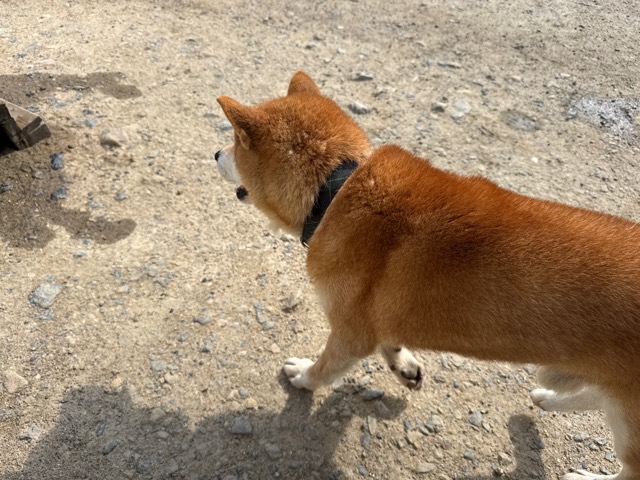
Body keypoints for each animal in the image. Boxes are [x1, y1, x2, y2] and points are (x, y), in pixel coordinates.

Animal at [215, 71, 640, 480]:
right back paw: (550, 399)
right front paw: (403, 366)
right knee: (596, 396)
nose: (215, 153)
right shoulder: (377, 318)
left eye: (235, 143)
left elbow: (323, 369)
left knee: (628, 468)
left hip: (627, 419)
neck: (336, 187)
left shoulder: (350, 334)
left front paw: (303, 376)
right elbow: (390, 342)